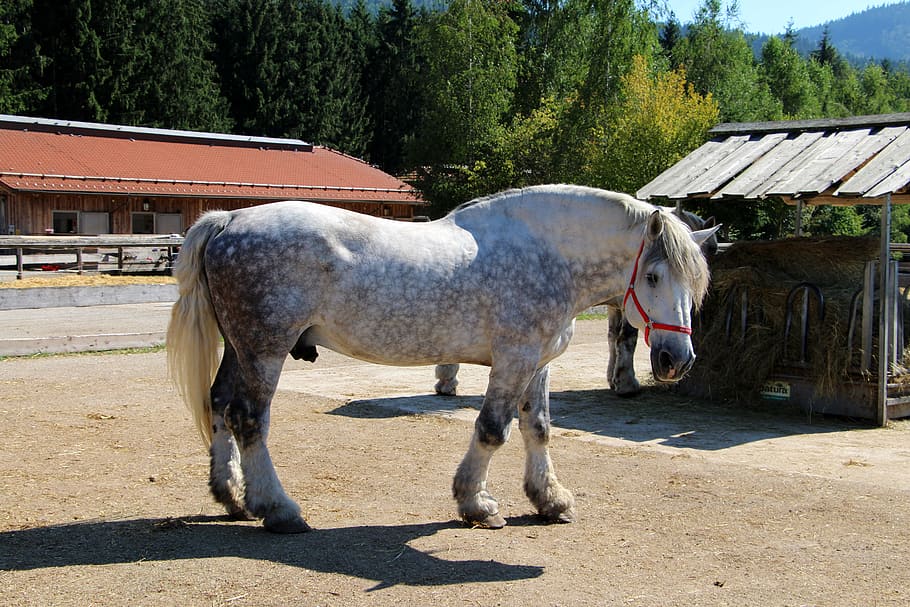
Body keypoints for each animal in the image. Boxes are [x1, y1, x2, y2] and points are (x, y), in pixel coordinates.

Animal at [433, 208, 718, 397]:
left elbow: (613, 337)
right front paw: (626, 384)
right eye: (652, 277)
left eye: (695, 279)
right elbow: (626, 338)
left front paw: (615, 379)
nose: (679, 360)